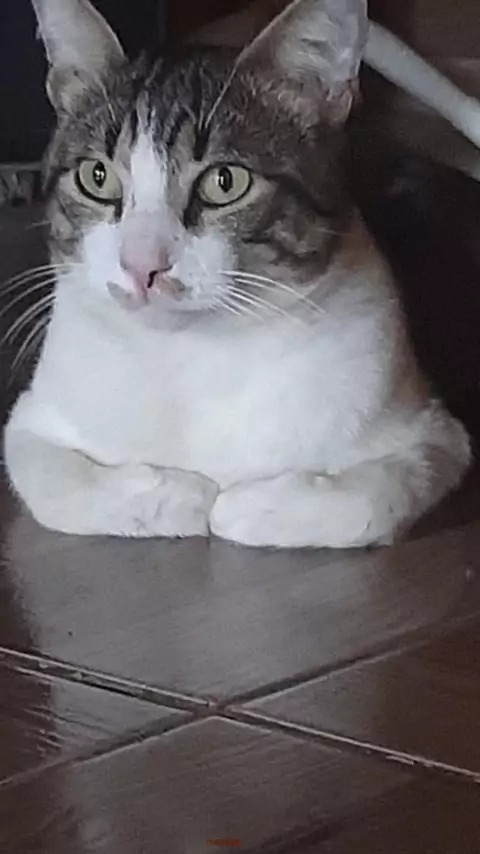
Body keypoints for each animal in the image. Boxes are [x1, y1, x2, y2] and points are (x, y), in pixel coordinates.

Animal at [3, 0, 471, 548]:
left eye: (225, 182)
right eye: (96, 177)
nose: (142, 264)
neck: (191, 358)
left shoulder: (436, 434)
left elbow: (378, 497)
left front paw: (246, 507)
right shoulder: (32, 419)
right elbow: (51, 478)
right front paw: (178, 497)